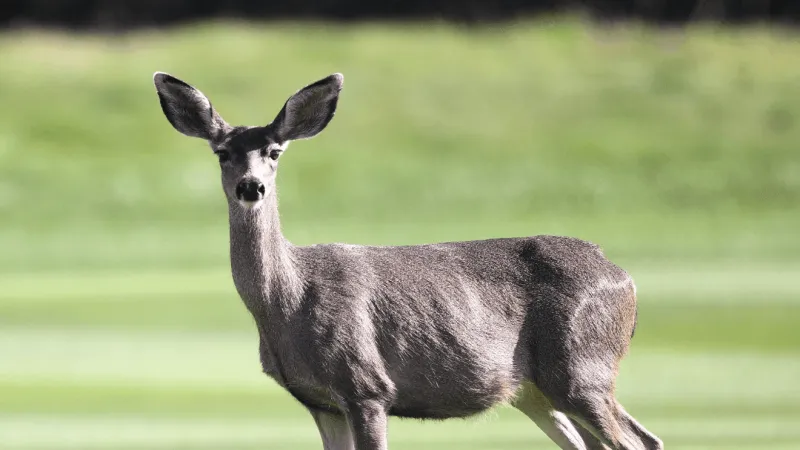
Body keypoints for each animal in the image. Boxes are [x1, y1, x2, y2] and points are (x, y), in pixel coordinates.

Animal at [152, 71, 663, 450]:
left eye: (275, 151)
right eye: (222, 153)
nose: (251, 186)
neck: (288, 302)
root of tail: (624, 277)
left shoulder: (366, 385)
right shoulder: (320, 401)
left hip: (581, 365)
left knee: (640, 441)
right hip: (536, 389)